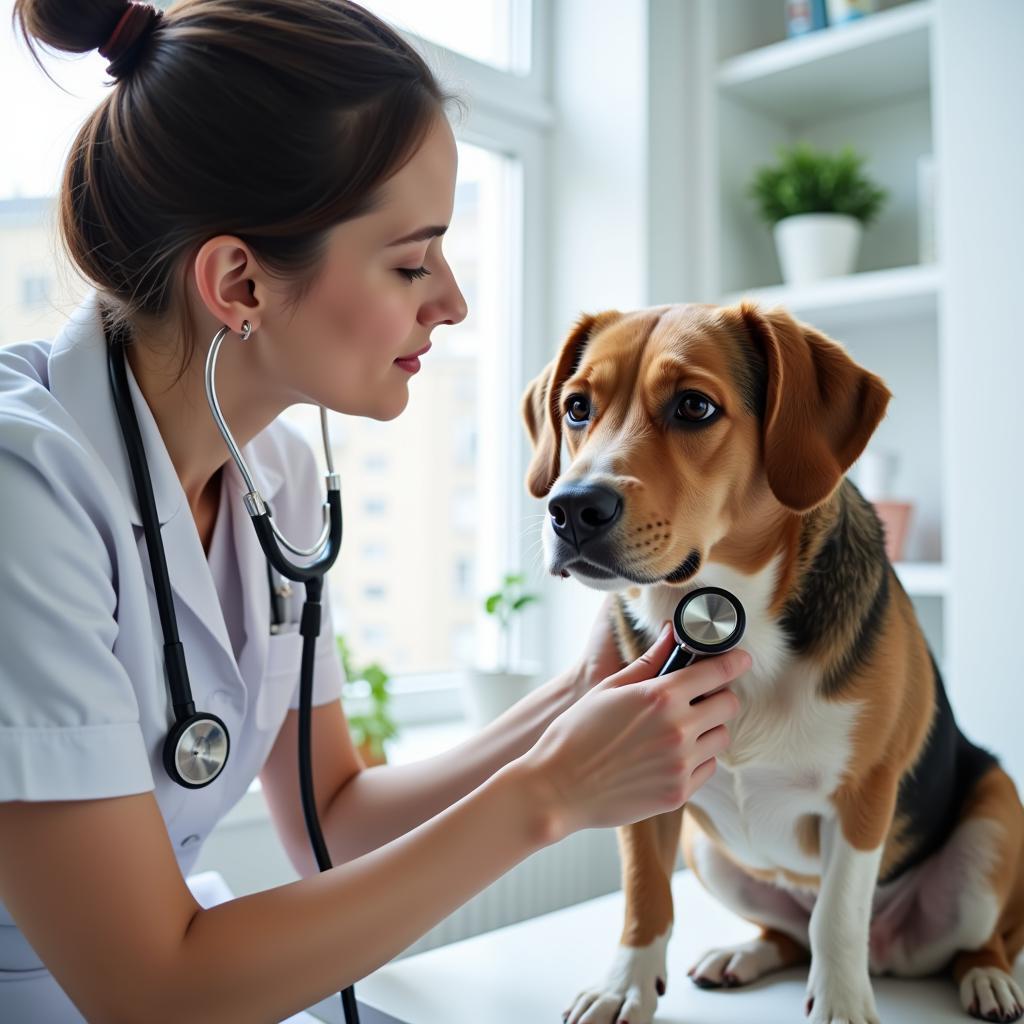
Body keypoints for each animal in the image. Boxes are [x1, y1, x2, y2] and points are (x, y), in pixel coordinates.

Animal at [524, 303, 1019, 1024]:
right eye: (577, 407)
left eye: (695, 406)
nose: (570, 508)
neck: (737, 624)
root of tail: (889, 955)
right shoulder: (644, 783)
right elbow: (646, 895)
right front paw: (625, 987)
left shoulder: (865, 793)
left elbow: (836, 915)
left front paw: (841, 1006)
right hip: (709, 852)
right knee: (787, 933)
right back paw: (745, 954)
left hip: (993, 828)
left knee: (982, 937)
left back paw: (989, 979)